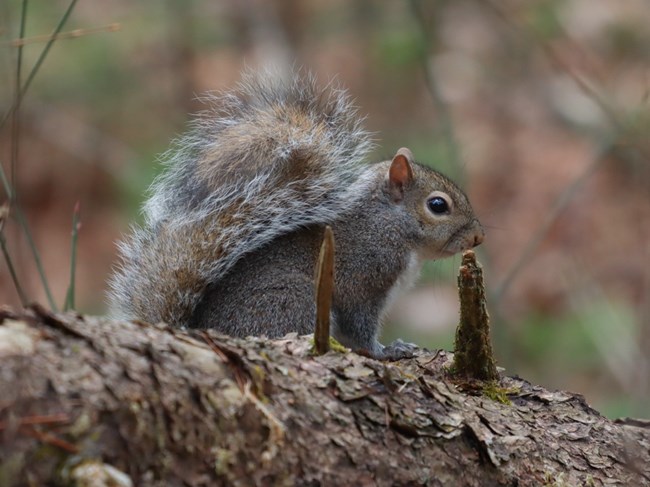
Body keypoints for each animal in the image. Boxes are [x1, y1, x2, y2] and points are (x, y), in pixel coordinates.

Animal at [108, 71, 484, 360]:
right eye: (438, 205)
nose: (478, 236)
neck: (388, 227)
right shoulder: (361, 279)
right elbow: (360, 329)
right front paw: (387, 351)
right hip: (294, 300)